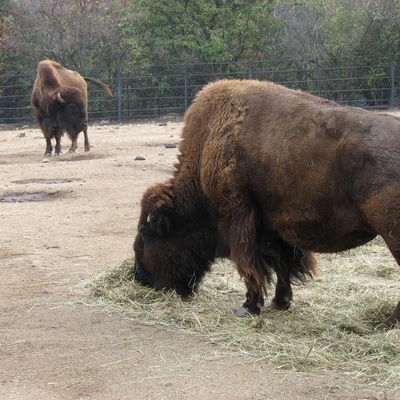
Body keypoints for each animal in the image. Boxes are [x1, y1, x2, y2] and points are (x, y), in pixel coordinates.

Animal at [133, 77, 400, 328]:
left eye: (146, 232)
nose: (140, 277)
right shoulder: (274, 228)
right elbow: (282, 264)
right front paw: (280, 301)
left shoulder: (239, 221)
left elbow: (250, 267)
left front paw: (248, 307)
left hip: (392, 234)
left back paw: (386, 323)